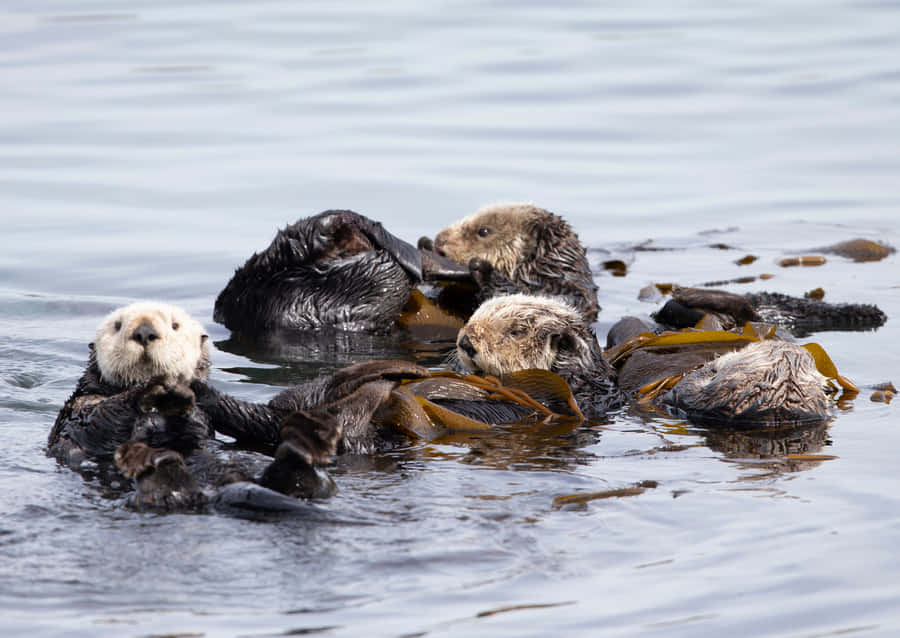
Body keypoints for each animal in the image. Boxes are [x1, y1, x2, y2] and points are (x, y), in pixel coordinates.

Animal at [49, 301, 428, 512]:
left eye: (174, 325)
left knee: (290, 423)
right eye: (117, 325)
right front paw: (154, 388)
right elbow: (96, 422)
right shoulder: (79, 408)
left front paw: (191, 389)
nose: (144, 332)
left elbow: (244, 416)